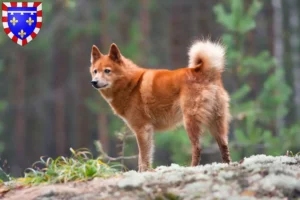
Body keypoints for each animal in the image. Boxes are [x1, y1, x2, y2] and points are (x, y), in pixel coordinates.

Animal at [90, 40, 231, 172]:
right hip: (216, 123)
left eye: (107, 71)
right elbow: (146, 156)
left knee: (197, 147)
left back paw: (193, 167)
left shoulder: (142, 129)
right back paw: (227, 165)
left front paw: (143, 172)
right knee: (224, 145)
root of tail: (205, 71)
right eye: (95, 71)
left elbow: (143, 157)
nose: (94, 82)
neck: (131, 84)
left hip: (190, 121)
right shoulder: (148, 131)